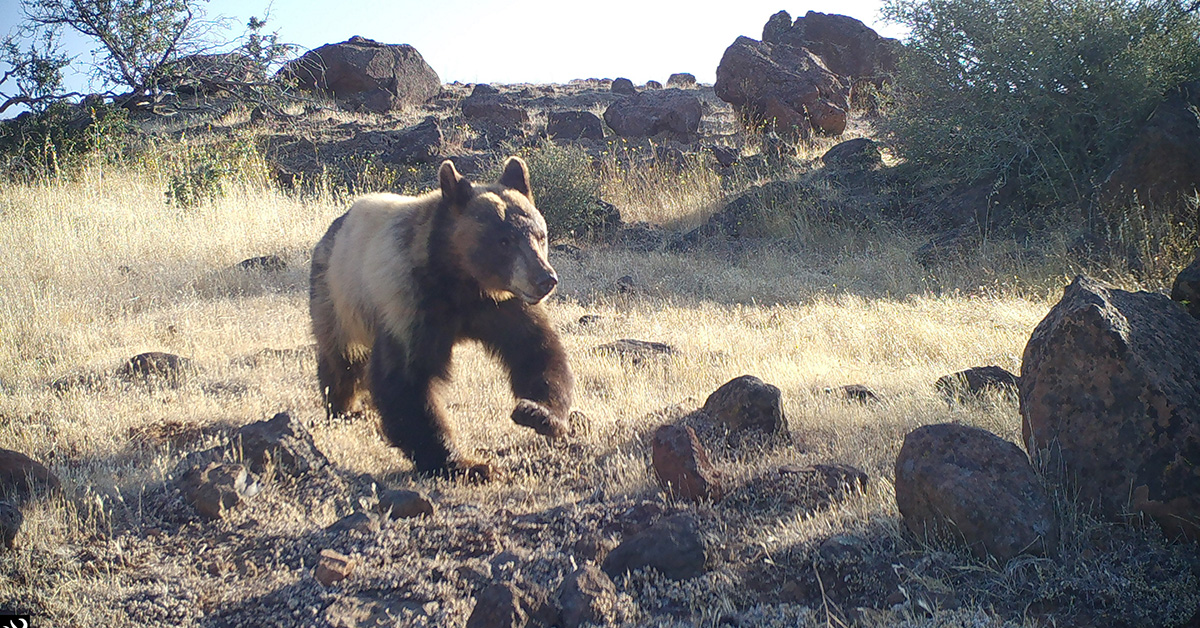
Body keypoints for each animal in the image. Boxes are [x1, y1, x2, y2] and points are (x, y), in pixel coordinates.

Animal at [307, 156, 573, 477]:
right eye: (504, 241)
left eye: (540, 235)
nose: (545, 279)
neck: (461, 280)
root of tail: (331, 230)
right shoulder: (411, 302)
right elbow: (408, 379)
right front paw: (462, 462)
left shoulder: (505, 306)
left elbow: (537, 350)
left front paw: (538, 413)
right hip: (337, 296)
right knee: (342, 358)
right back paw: (344, 406)